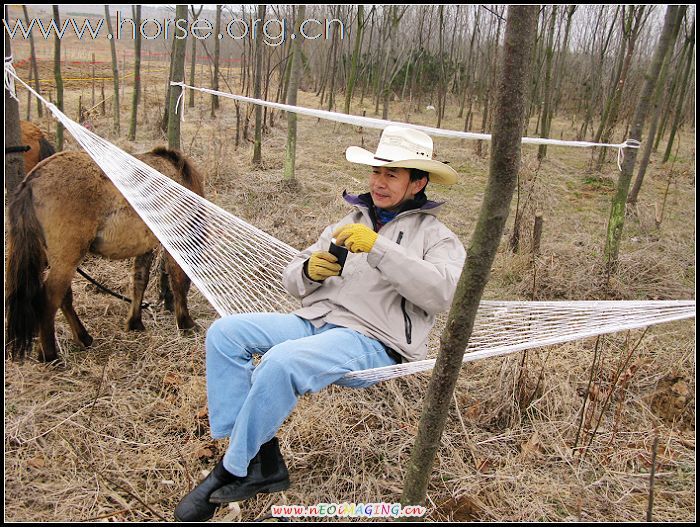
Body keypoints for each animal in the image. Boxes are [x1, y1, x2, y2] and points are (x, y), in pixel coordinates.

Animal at [4, 148, 205, 364]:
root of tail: (32, 180)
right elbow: (178, 280)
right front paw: (186, 323)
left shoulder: (146, 246)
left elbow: (140, 281)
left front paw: (135, 322)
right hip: (67, 259)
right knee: (50, 298)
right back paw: (50, 355)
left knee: (63, 297)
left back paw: (82, 338)